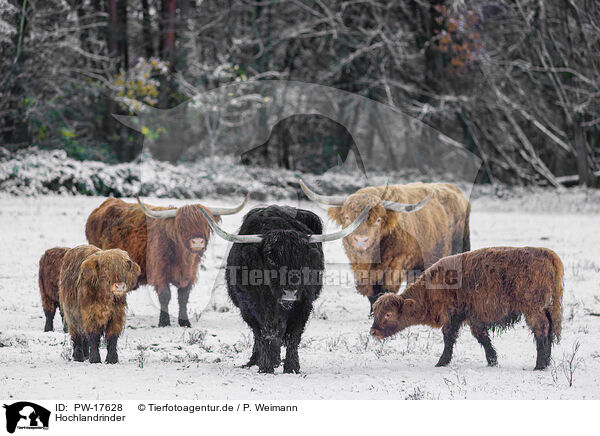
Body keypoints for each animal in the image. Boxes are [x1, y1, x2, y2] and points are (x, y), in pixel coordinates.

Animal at [84, 196, 246, 326]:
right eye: (182, 226)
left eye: (206, 224)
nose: (197, 242)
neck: (183, 259)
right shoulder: (159, 273)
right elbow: (165, 296)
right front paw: (164, 322)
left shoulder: (190, 274)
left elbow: (183, 297)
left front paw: (184, 322)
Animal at [204, 204, 368, 372]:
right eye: (270, 259)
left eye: (302, 260)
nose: (289, 292)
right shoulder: (250, 306)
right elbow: (264, 333)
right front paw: (266, 366)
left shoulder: (303, 304)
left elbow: (293, 336)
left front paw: (292, 367)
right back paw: (256, 361)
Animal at [370, 247, 564, 370]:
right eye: (376, 312)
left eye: (388, 314)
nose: (373, 332)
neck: (431, 289)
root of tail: (546, 254)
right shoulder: (473, 318)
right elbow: (483, 338)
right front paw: (492, 361)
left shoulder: (452, 317)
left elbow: (449, 338)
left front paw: (441, 362)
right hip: (546, 309)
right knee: (549, 331)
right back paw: (545, 363)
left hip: (532, 310)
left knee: (541, 330)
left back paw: (539, 365)